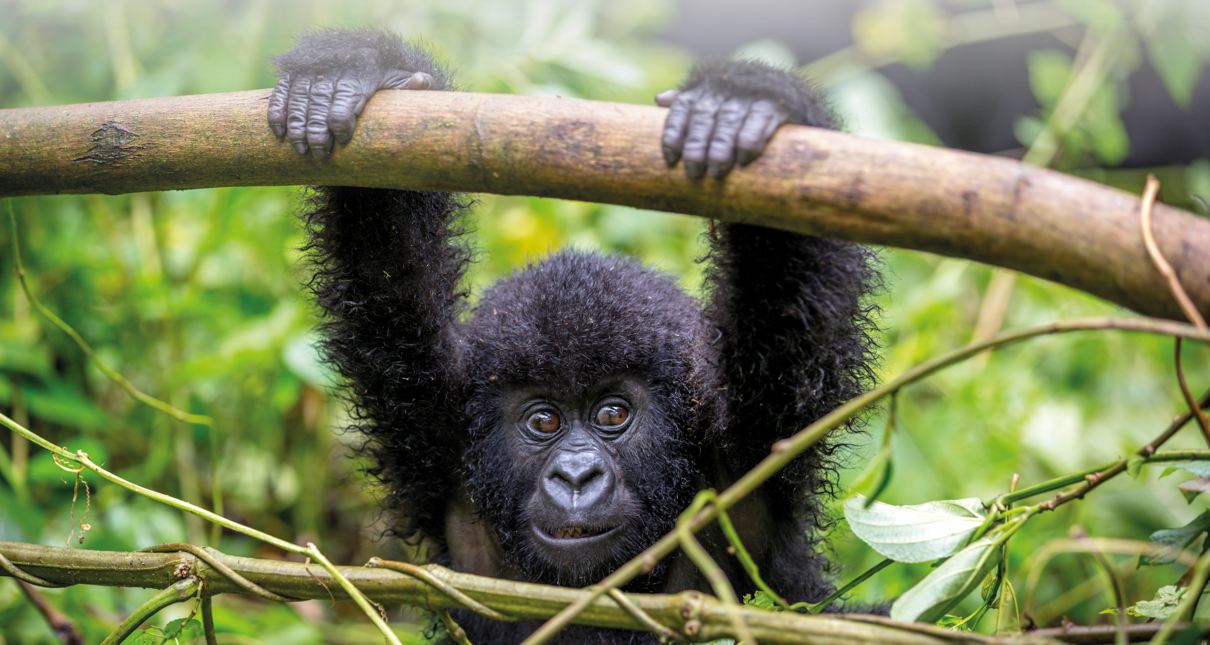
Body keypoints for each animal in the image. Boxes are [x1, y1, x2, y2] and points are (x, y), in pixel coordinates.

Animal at [273, 28, 876, 638]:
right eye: (544, 420)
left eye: (612, 413)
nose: (576, 476)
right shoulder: (434, 429)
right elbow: (387, 268)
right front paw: (354, 72)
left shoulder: (754, 445)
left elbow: (789, 297)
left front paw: (748, 101)